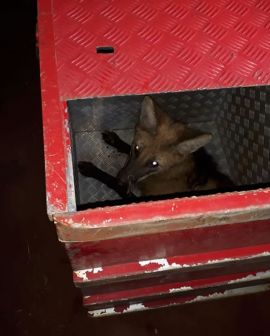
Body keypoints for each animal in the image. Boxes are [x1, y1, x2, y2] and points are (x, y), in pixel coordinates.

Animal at [78, 96, 232, 198]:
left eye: (154, 164)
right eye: (137, 149)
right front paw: (114, 140)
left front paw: (92, 170)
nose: (120, 179)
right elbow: (125, 147)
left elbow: (111, 182)